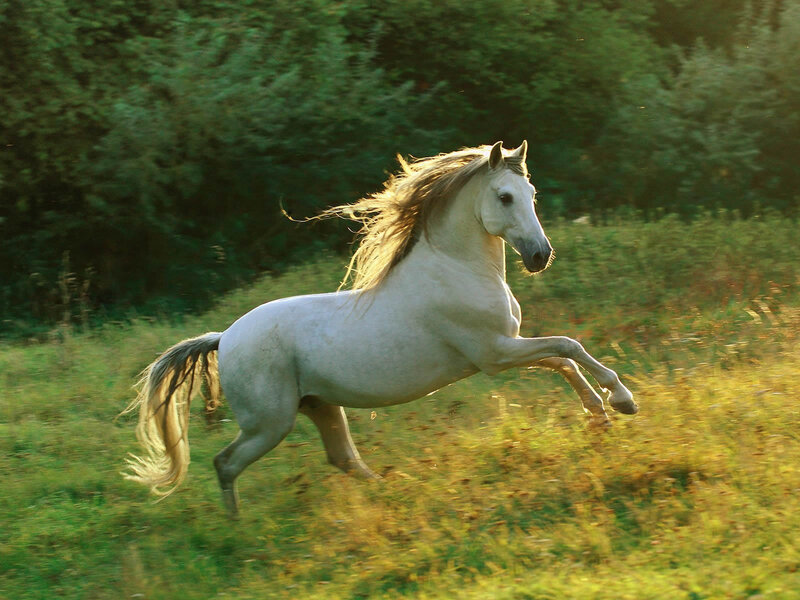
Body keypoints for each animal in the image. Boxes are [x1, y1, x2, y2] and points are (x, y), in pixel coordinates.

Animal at [123, 141, 637, 517]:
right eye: (504, 197)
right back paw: (238, 527)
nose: (539, 256)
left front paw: (601, 414)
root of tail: (223, 338)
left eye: (531, 196)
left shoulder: (504, 349)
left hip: (319, 406)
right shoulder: (494, 353)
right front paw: (621, 400)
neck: (457, 269)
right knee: (225, 463)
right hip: (269, 423)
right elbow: (568, 347)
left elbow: (563, 360)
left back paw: (396, 491)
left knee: (343, 458)